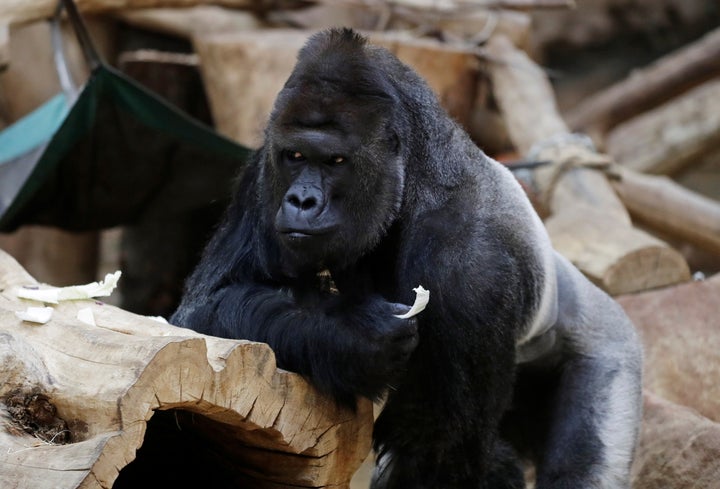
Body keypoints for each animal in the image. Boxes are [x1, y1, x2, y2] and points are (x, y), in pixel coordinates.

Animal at [172, 27, 644, 488]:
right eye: (296, 156)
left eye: (336, 161)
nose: (301, 201)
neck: (415, 175)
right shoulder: (263, 175)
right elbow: (205, 310)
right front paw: (349, 336)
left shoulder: (467, 263)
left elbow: (445, 452)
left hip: (609, 346)